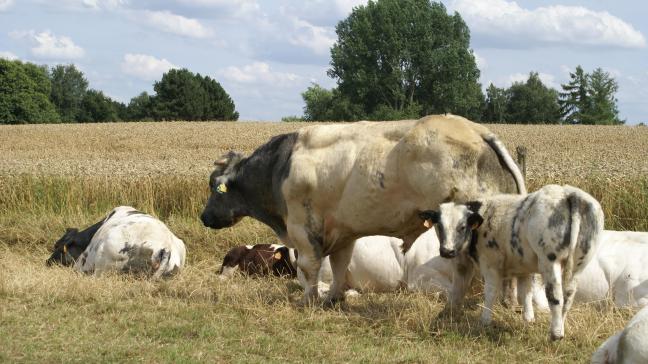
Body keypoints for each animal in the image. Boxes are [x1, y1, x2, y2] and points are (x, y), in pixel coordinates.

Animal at [199, 114, 528, 304]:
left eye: (214, 186)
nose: (204, 216)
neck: (278, 169)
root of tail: (475, 129)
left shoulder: (303, 227)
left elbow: (309, 267)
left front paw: (309, 300)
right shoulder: (343, 232)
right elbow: (339, 267)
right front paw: (334, 298)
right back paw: (508, 305)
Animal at [418, 185, 604, 342]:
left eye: (462, 226)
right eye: (439, 225)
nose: (447, 251)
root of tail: (568, 194)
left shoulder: (490, 265)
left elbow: (491, 292)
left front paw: (485, 320)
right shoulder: (524, 269)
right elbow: (525, 293)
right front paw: (528, 320)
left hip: (550, 262)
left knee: (555, 295)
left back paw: (555, 334)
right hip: (579, 264)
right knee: (569, 295)